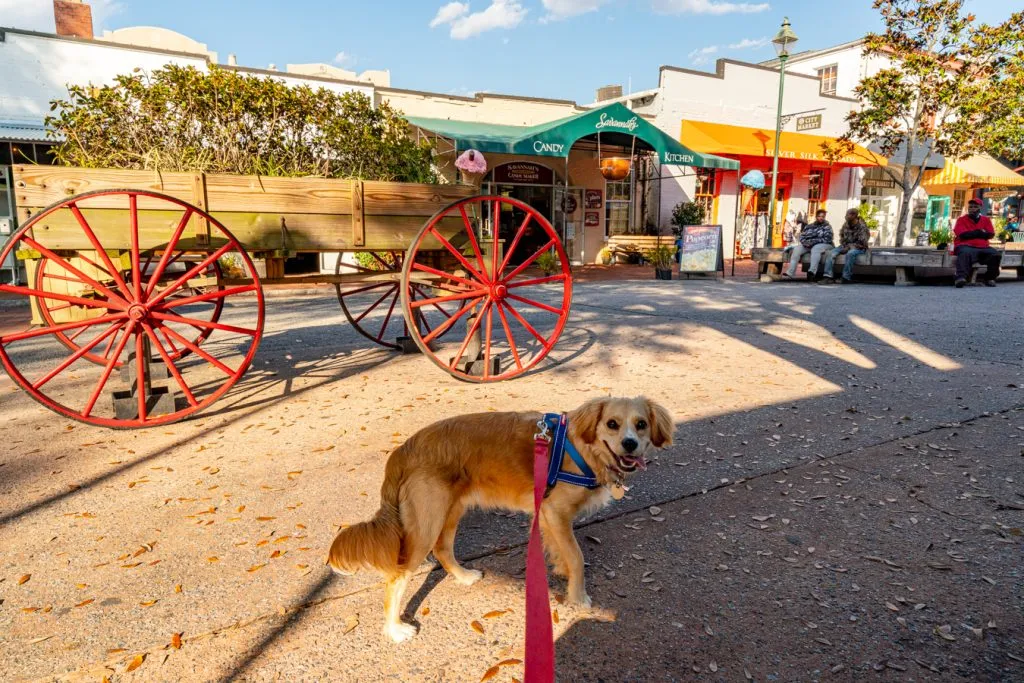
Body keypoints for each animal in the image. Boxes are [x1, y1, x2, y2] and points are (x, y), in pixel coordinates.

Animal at [325, 395, 671, 643]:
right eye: (612, 423)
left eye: (641, 424)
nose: (630, 444)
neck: (581, 449)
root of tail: (403, 449)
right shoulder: (556, 512)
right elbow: (576, 556)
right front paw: (578, 596)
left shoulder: (548, 515)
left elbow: (561, 550)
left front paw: (560, 569)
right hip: (427, 523)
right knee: (397, 576)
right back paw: (395, 629)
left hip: (450, 512)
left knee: (443, 550)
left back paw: (464, 577)